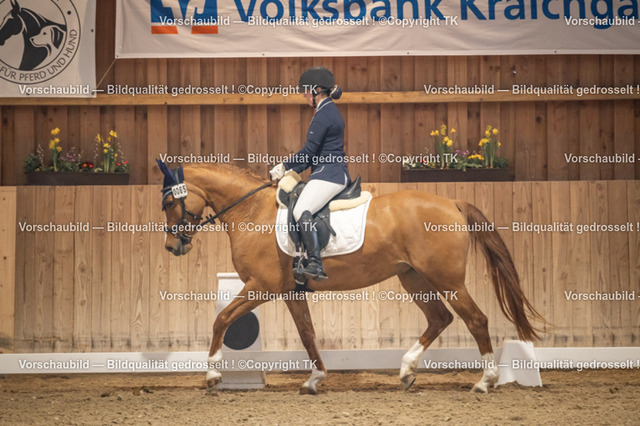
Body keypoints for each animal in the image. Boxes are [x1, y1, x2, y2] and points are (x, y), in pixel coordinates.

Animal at [158, 162, 544, 394]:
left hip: (447, 279)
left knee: (476, 319)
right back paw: (406, 371)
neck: (251, 212)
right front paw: (314, 379)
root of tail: (452, 204)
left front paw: (212, 375)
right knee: (440, 319)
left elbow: (221, 319)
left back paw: (485, 381)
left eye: (168, 203)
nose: (172, 246)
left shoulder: (260, 287)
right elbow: (307, 334)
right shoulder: (290, 292)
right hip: (414, 278)